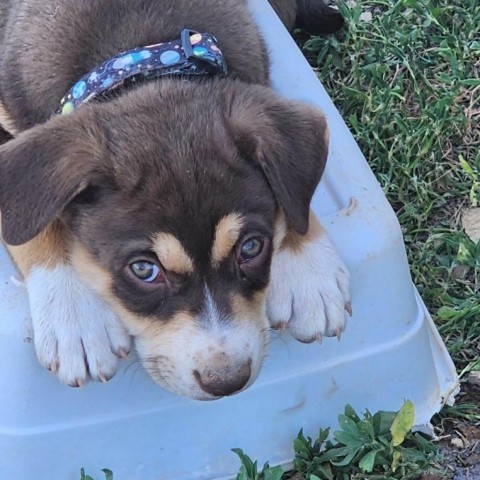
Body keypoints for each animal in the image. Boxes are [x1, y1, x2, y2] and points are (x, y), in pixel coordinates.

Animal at [0, 0, 350, 400]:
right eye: (143, 270)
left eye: (251, 247)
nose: (226, 382)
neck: (141, 57)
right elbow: (28, 216)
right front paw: (76, 315)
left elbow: (294, 195)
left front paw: (311, 273)